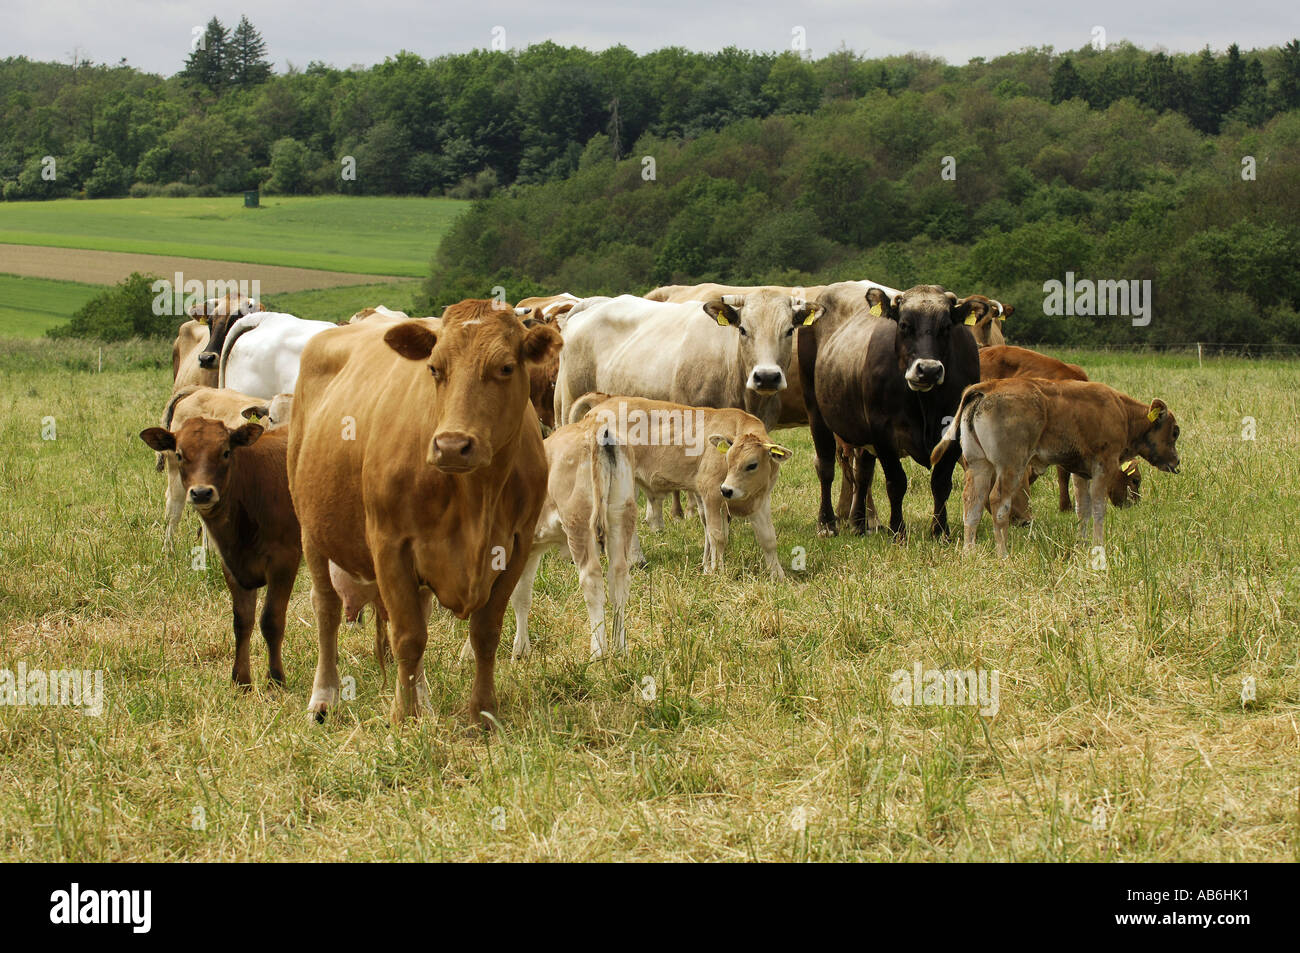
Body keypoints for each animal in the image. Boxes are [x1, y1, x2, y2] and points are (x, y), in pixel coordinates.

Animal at [139, 418, 300, 686]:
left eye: (225, 452)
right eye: (179, 454)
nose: (201, 492)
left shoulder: (284, 559)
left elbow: (271, 620)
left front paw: (275, 680)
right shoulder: (231, 564)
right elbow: (242, 621)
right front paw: (241, 680)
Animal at [287, 301, 562, 725]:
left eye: (505, 367)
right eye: (434, 368)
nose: (451, 445)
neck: (475, 498)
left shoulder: (516, 546)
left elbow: (485, 634)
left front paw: (483, 714)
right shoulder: (389, 544)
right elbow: (408, 637)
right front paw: (403, 718)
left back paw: (425, 700)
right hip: (311, 529)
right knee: (327, 610)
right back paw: (324, 698)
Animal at [570, 394, 793, 579]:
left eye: (752, 465)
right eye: (727, 460)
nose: (727, 490)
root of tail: (600, 405)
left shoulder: (761, 500)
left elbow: (768, 538)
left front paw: (778, 575)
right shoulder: (711, 492)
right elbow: (717, 536)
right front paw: (718, 571)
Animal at [799, 282, 981, 539]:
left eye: (946, 327)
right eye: (904, 325)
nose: (928, 370)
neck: (925, 404)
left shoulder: (954, 431)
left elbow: (941, 483)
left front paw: (939, 531)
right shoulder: (883, 431)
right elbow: (896, 483)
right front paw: (898, 531)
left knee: (863, 472)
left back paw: (859, 522)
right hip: (816, 412)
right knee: (825, 468)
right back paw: (826, 523)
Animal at [930, 378, 1180, 556]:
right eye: (1175, 431)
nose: (1176, 463)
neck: (1122, 412)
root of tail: (988, 387)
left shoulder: (1082, 473)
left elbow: (1083, 509)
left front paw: (1082, 543)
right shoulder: (1104, 466)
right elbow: (1098, 508)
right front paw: (1098, 546)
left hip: (979, 465)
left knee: (973, 502)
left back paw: (969, 553)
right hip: (1011, 465)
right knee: (998, 501)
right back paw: (1003, 555)